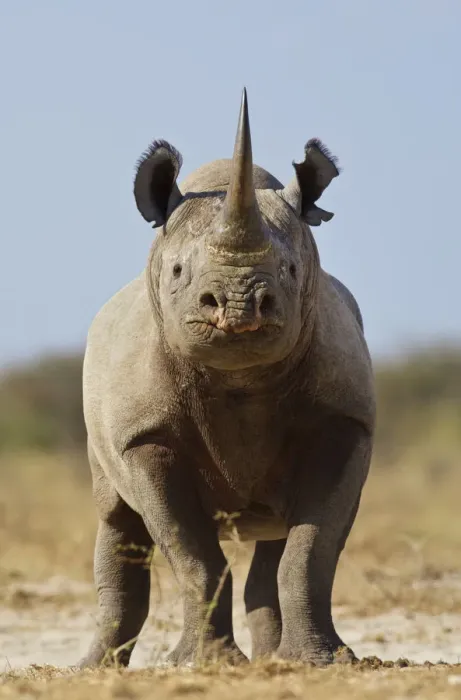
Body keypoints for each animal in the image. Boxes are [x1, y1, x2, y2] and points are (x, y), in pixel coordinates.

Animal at [79, 89, 375, 668]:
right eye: (176, 272)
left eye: (290, 270)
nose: (239, 304)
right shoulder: (144, 435)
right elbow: (192, 552)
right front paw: (202, 663)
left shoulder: (344, 421)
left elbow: (312, 549)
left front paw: (324, 662)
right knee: (116, 517)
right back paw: (90, 670)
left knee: (277, 539)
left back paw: (276, 658)